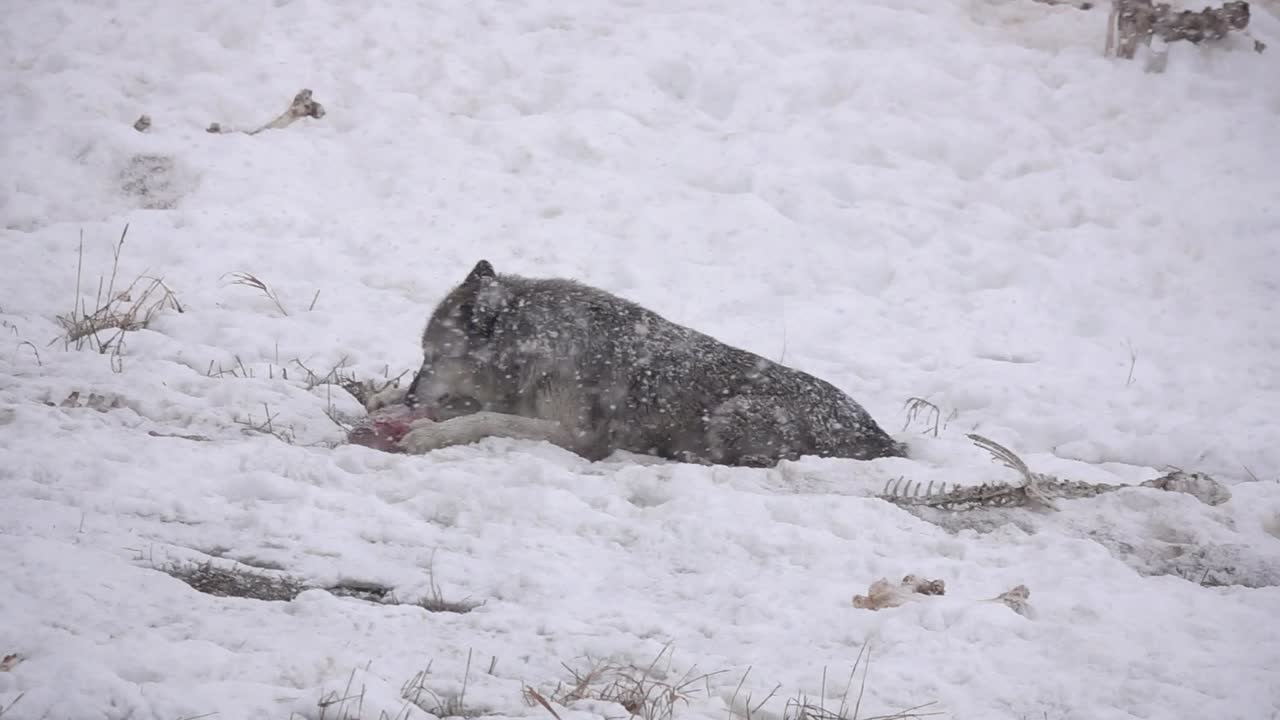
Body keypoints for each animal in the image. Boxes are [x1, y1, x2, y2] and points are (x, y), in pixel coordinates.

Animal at [394, 260, 906, 467]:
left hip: (730, 413)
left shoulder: (578, 438)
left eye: (432, 356)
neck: (540, 345)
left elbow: (485, 420)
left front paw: (426, 435)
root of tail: (882, 437)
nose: (413, 398)